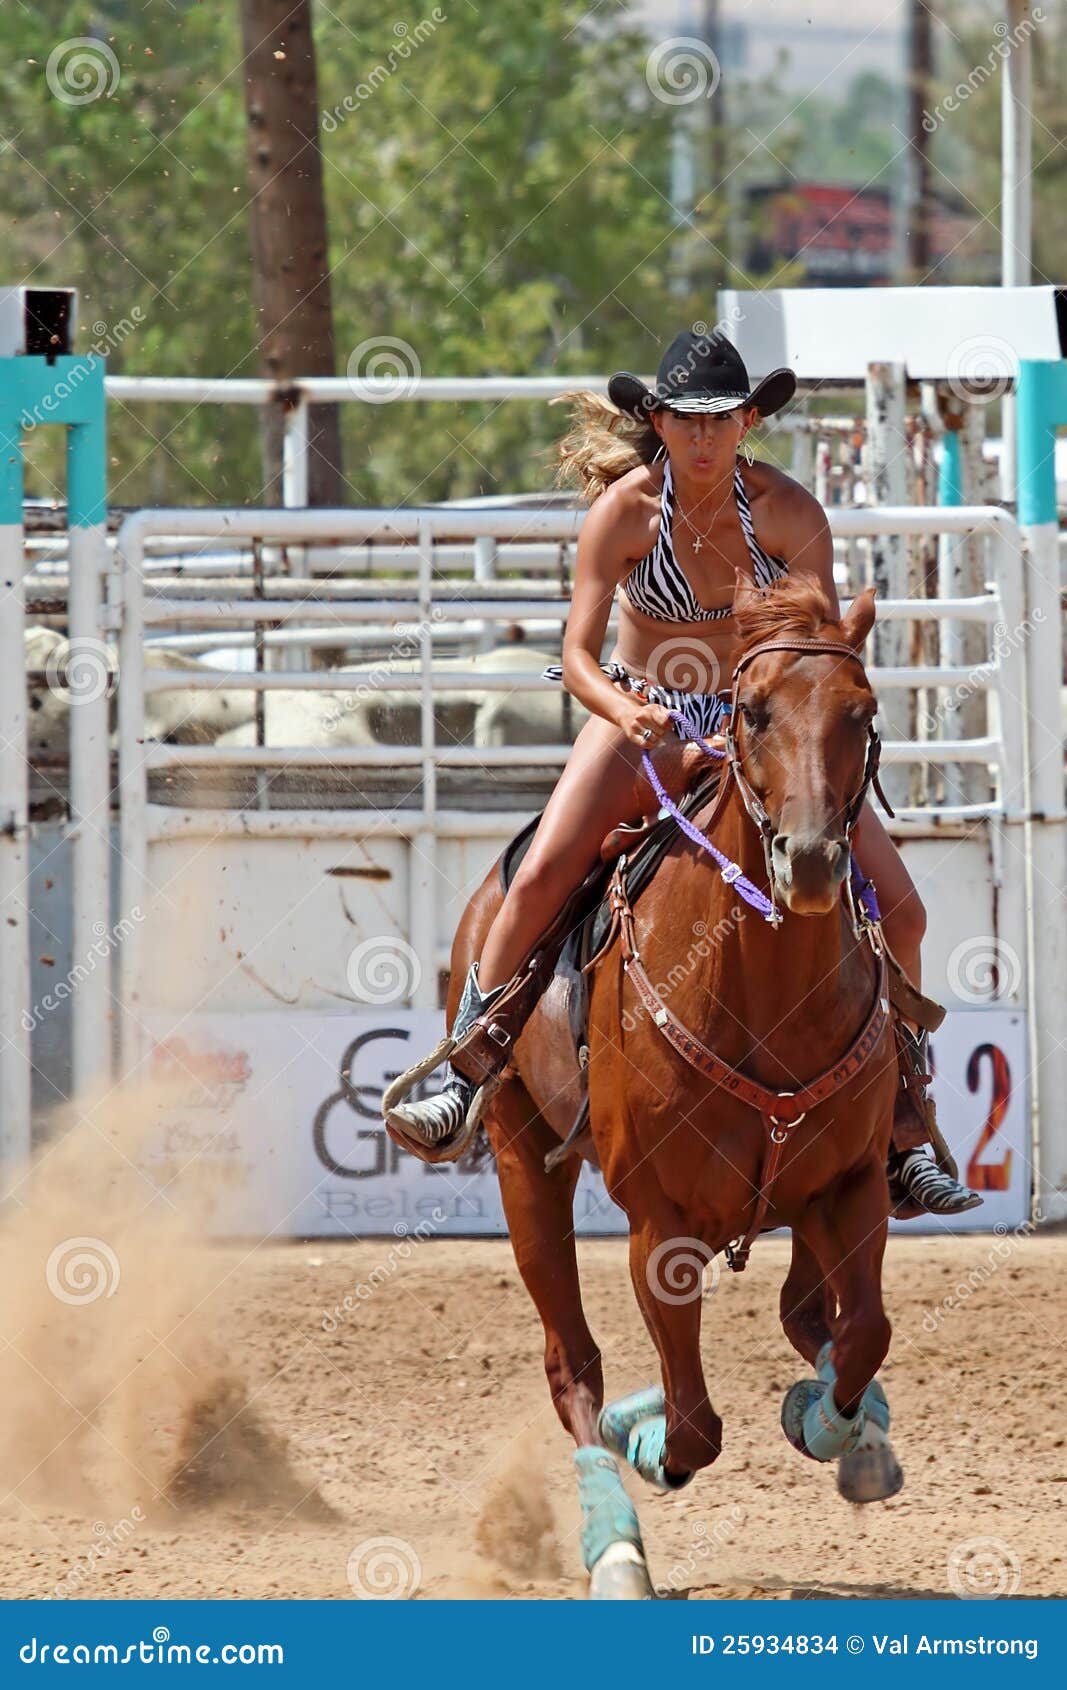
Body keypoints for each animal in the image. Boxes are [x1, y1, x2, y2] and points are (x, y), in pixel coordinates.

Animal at [449, 581, 899, 1595]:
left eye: (862, 712)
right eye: (751, 711)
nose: (811, 861)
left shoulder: (852, 1185)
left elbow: (863, 1333)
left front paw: (828, 1420)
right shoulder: (660, 1225)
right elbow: (692, 1424)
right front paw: (647, 1438)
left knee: (807, 1311)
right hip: (520, 1158)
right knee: (571, 1362)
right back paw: (614, 1538)